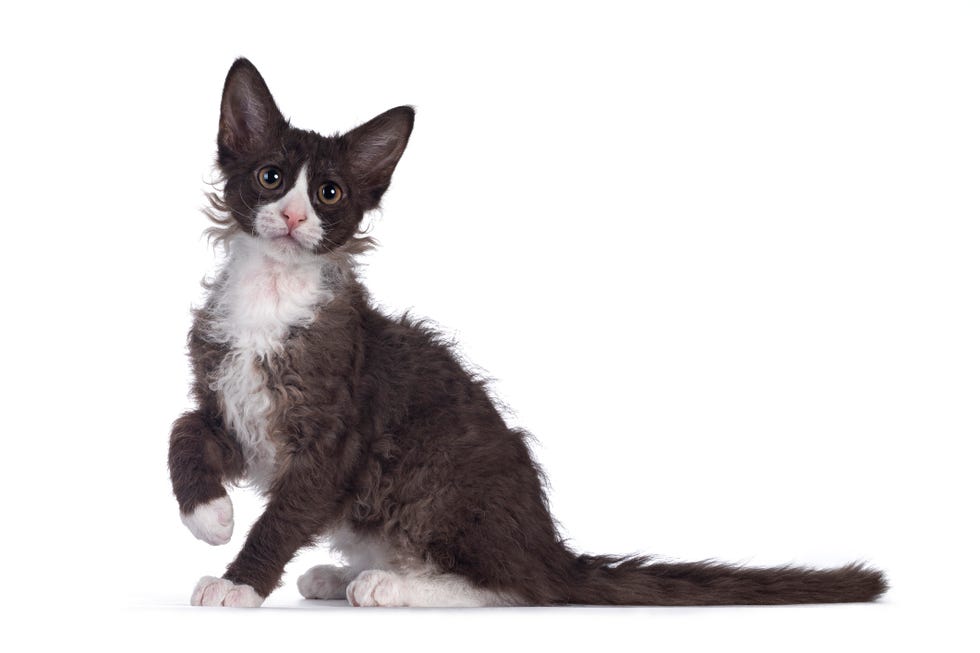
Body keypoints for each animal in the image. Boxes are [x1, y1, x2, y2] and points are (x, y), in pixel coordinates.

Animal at [168, 57, 888, 608]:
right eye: (271, 178)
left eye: (330, 193)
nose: (293, 218)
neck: (270, 295)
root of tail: (546, 546)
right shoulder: (237, 409)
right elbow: (182, 431)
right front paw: (209, 515)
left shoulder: (331, 441)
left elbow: (284, 515)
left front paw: (238, 583)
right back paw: (344, 572)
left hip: (436, 473)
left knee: (513, 586)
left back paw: (389, 584)